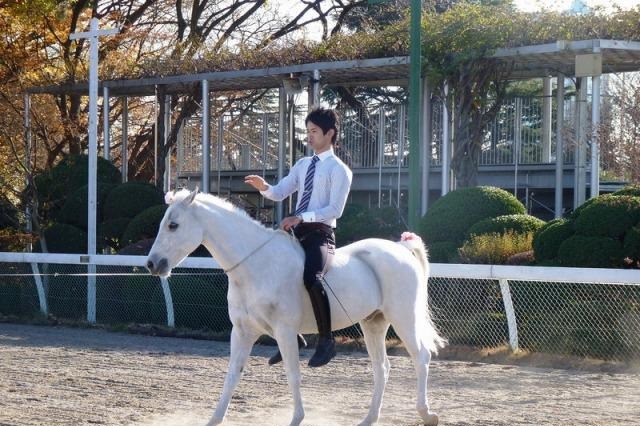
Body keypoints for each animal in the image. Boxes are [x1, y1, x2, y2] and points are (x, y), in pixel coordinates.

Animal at [146, 188, 445, 426]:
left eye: (173, 225)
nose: (152, 264)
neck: (256, 265)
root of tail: (401, 249)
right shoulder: (242, 332)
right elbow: (232, 376)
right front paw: (214, 419)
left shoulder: (285, 331)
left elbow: (292, 374)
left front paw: (297, 418)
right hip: (374, 323)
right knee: (381, 368)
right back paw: (370, 418)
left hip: (403, 318)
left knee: (420, 357)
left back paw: (427, 414)